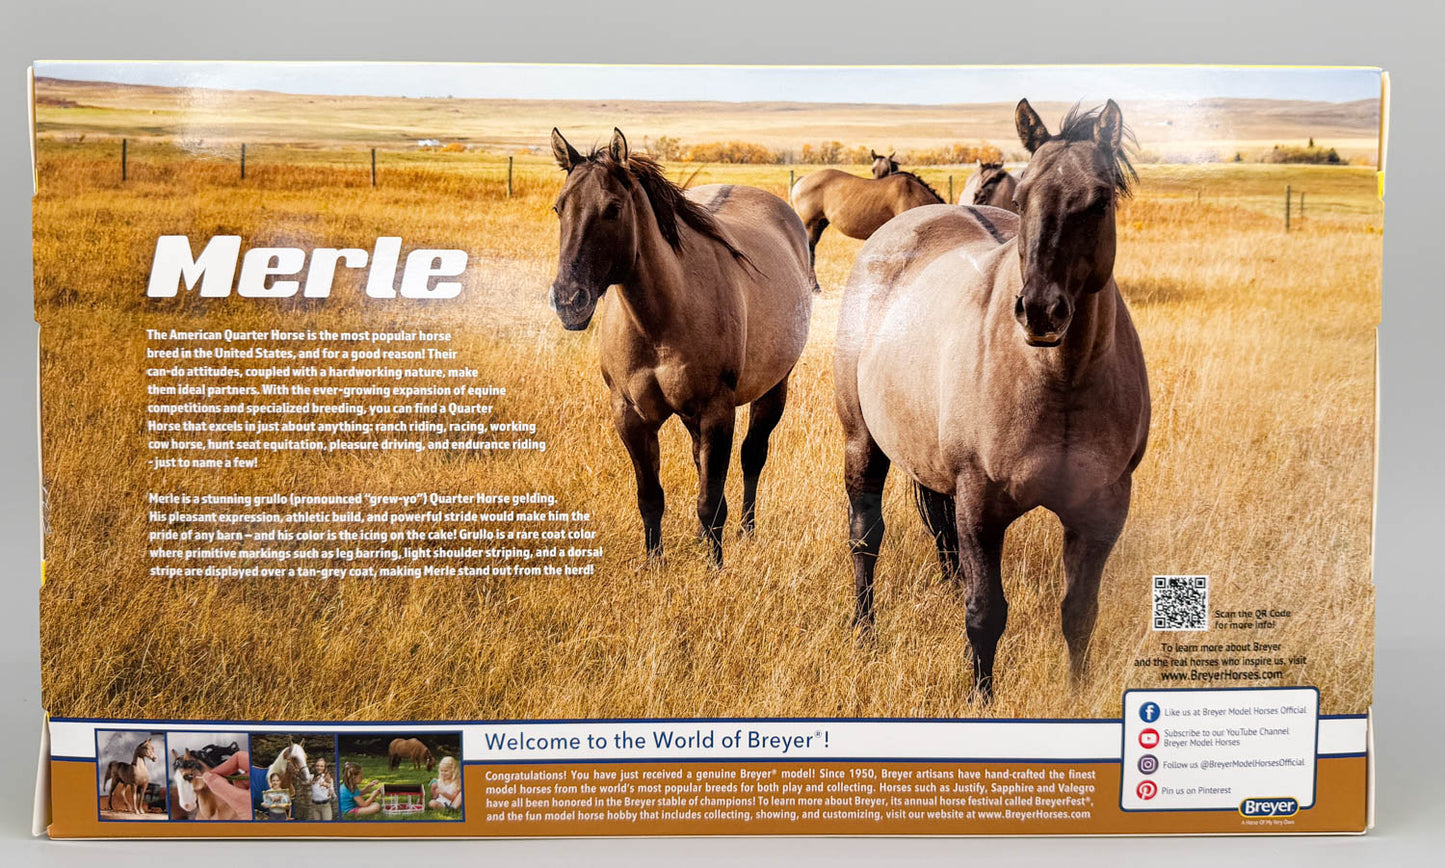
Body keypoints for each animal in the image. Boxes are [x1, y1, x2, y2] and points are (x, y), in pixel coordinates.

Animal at [548, 128, 814, 567]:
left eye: (613, 209)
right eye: (558, 207)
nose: (570, 301)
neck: (661, 320)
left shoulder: (716, 412)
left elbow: (710, 502)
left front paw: (714, 567)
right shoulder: (630, 416)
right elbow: (651, 497)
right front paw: (655, 563)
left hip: (774, 388)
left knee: (753, 455)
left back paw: (747, 530)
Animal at [834, 99, 1150, 702]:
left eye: (1099, 201)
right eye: (1022, 197)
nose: (1040, 311)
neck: (1063, 382)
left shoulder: (1102, 508)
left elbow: (1080, 612)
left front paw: (1076, 695)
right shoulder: (980, 502)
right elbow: (985, 614)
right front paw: (982, 698)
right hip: (862, 441)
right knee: (866, 538)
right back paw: (863, 633)